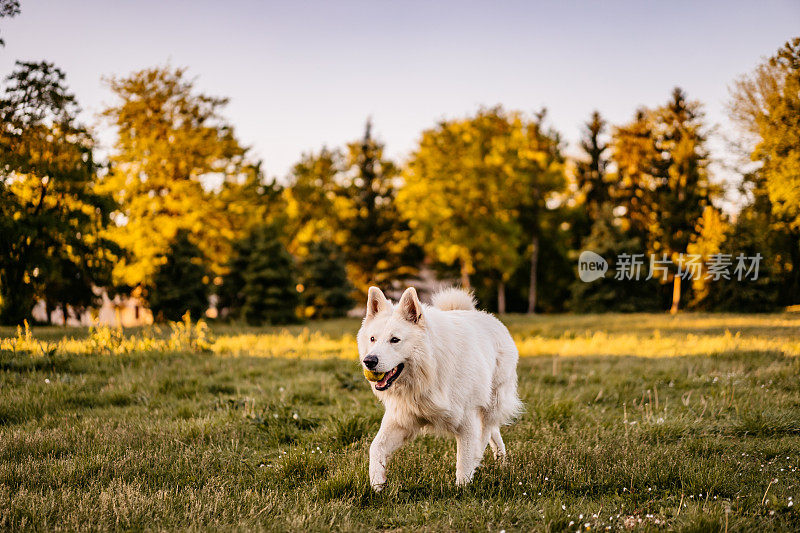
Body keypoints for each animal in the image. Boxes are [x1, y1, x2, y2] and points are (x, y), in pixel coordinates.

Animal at [358, 284, 524, 488]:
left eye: (395, 340)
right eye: (372, 339)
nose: (369, 361)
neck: (429, 372)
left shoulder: (468, 419)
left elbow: (464, 460)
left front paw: (463, 489)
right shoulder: (401, 418)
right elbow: (376, 447)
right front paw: (377, 484)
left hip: (491, 404)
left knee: (486, 432)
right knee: (493, 432)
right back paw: (501, 461)